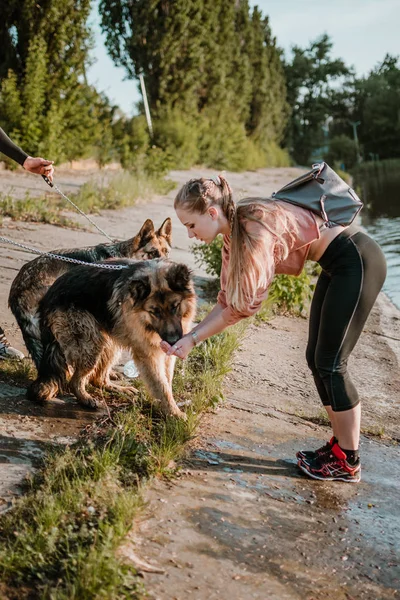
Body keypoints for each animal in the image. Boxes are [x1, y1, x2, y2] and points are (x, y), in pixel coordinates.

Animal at [27, 258, 196, 418]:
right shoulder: (148, 355)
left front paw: (169, 407)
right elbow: (161, 384)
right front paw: (174, 413)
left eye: (175, 307)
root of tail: (46, 300)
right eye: (155, 312)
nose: (173, 340)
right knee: (75, 380)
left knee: (98, 379)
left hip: (108, 341)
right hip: (90, 343)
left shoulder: (165, 354)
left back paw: (117, 389)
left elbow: (167, 380)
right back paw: (85, 398)